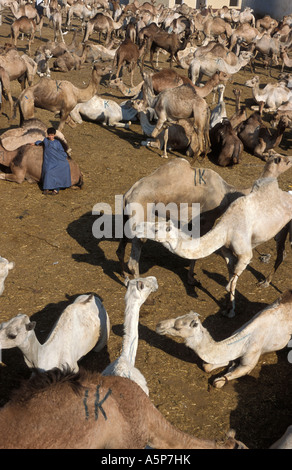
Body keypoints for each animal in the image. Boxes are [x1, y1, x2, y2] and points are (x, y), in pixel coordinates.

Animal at [136, 163, 292, 318]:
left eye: (156, 229)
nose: (137, 227)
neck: (226, 229)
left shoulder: (245, 255)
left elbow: (231, 282)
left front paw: (231, 311)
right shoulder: (226, 251)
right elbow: (230, 275)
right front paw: (228, 308)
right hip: (282, 229)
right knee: (281, 253)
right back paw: (265, 282)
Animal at [156, 290, 292, 390]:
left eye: (177, 327)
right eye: (176, 317)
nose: (159, 325)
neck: (243, 341)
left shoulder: (250, 359)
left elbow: (219, 381)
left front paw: (223, 377)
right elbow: (207, 366)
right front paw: (229, 365)